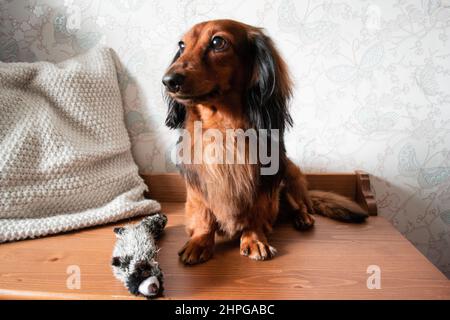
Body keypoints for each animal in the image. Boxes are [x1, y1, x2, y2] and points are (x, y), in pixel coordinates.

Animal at [163, 20, 368, 264]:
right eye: (182, 45)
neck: (223, 130)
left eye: (218, 42)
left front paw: (253, 239)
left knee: (299, 205)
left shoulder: (262, 182)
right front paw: (199, 242)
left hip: (288, 171)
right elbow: (203, 216)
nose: (168, 81)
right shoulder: (198, 185)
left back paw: (303, 217)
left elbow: (255, 213)